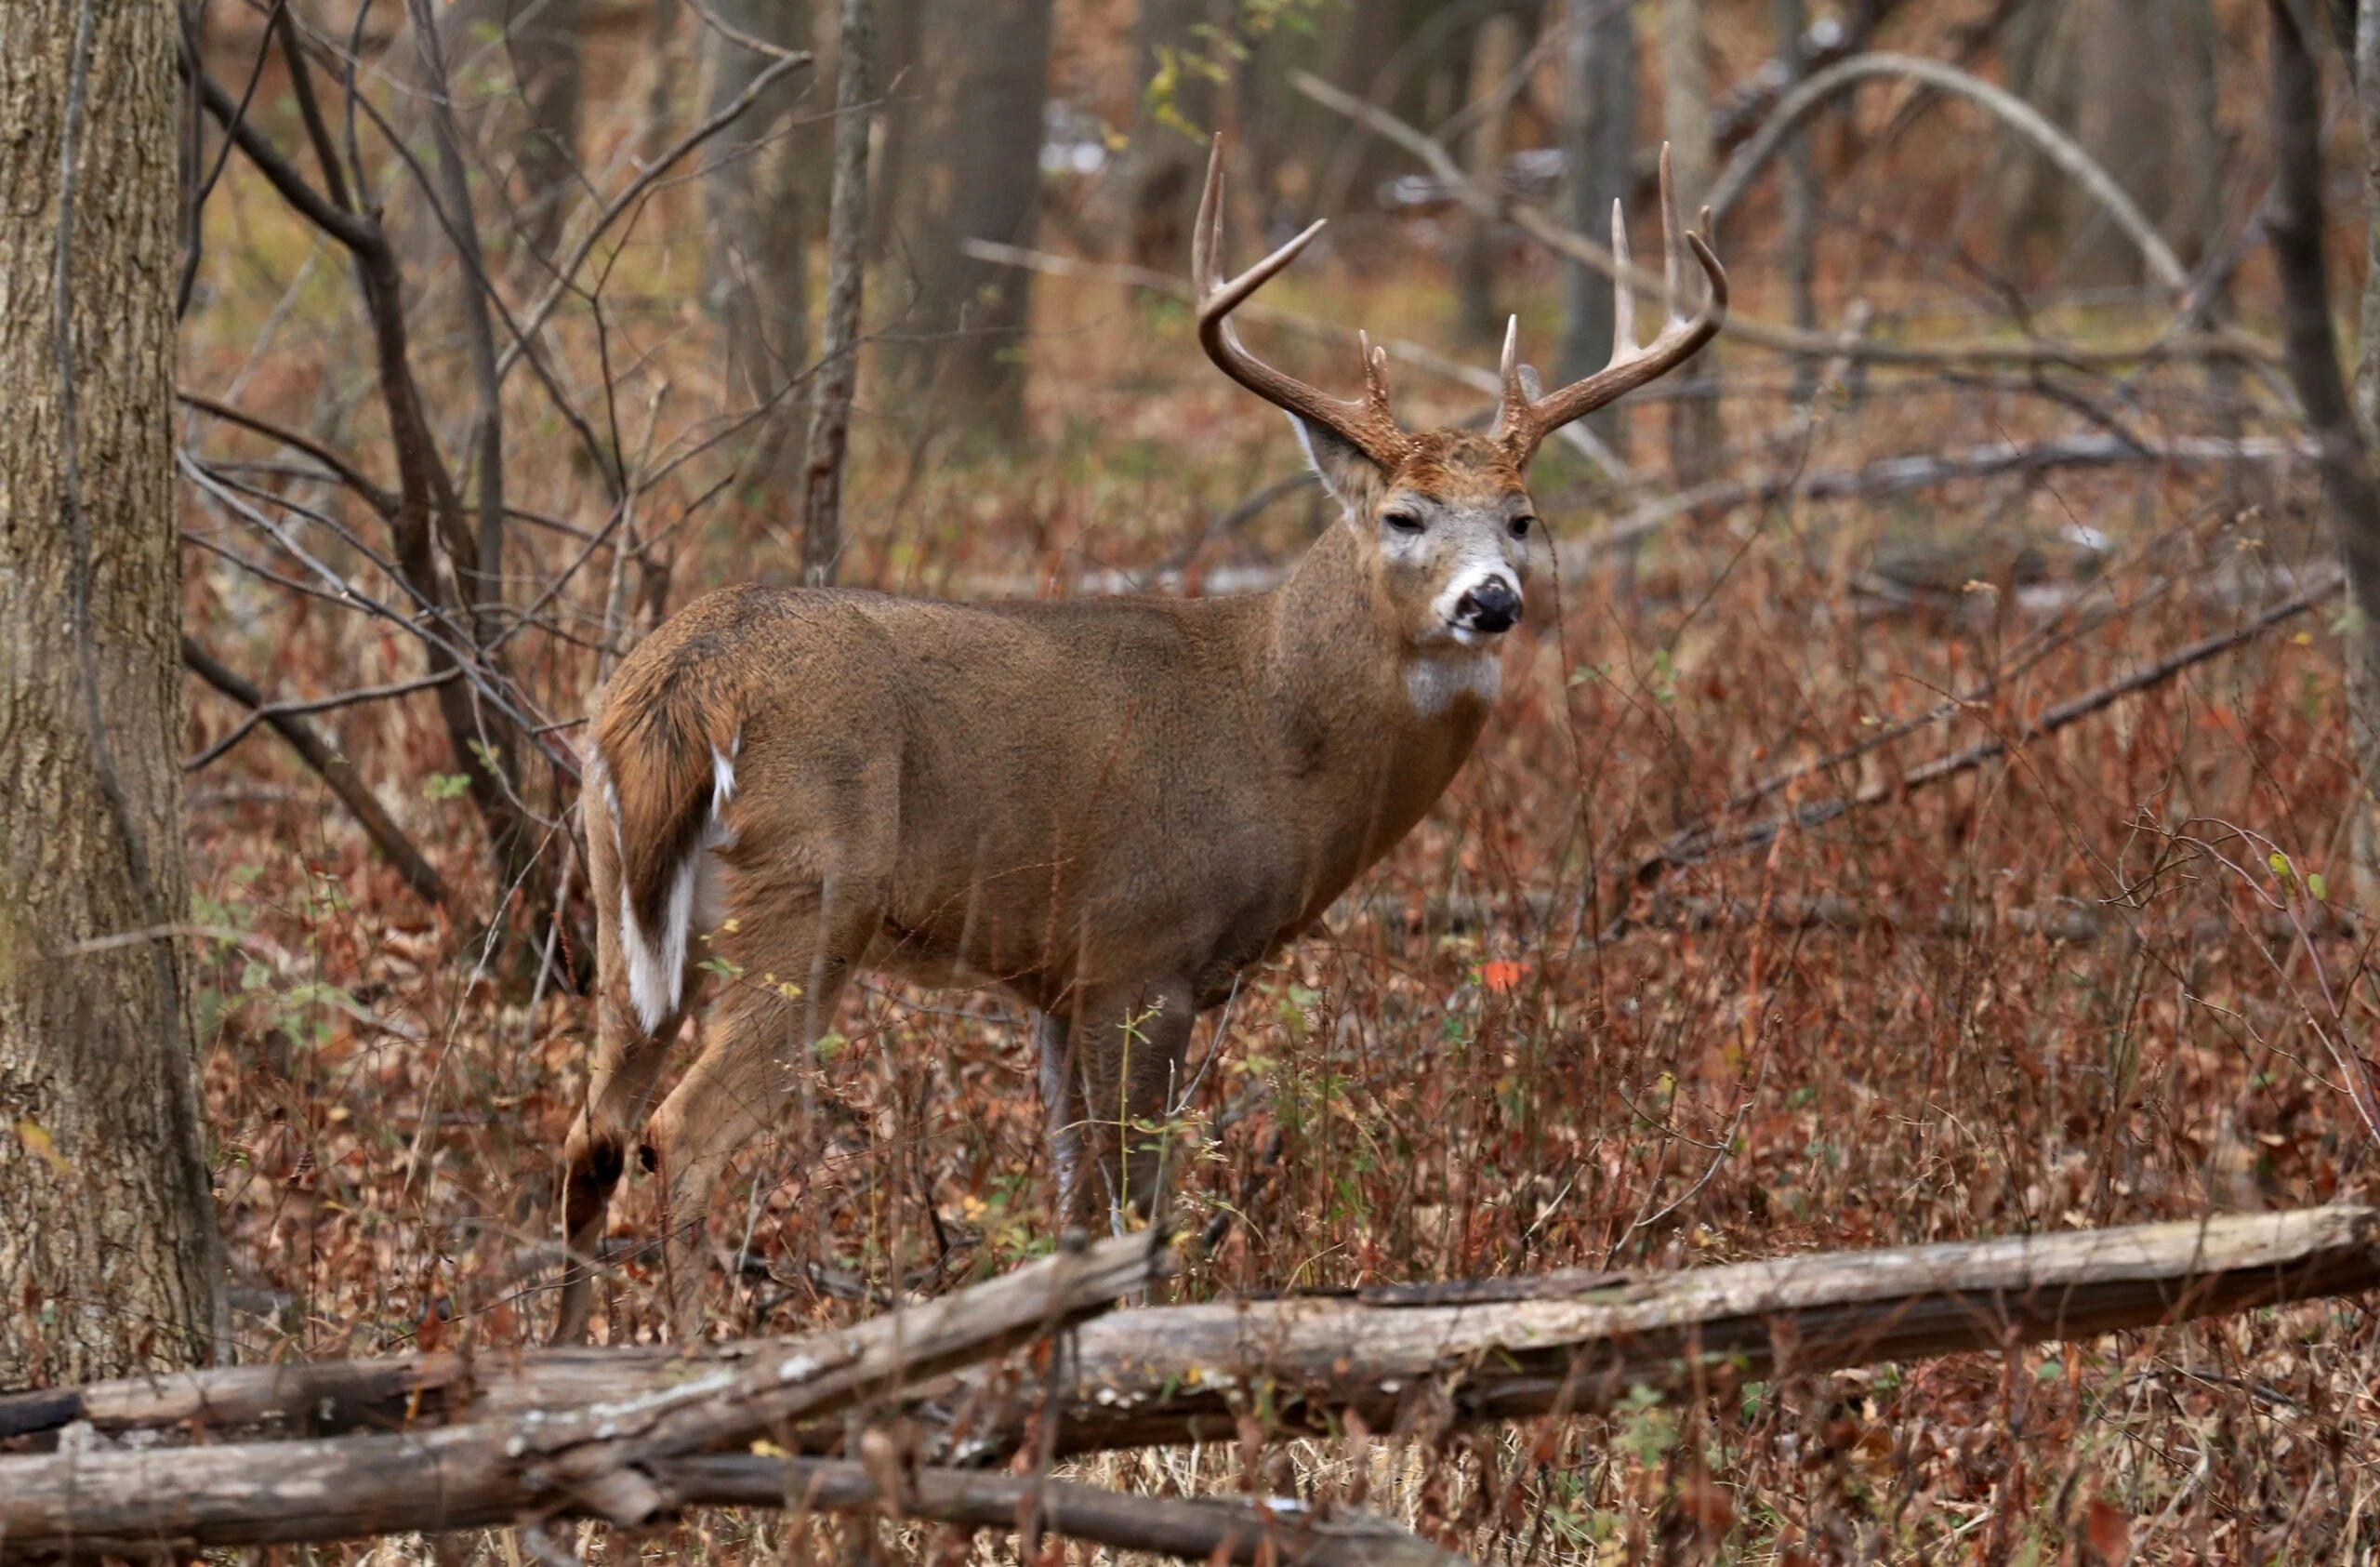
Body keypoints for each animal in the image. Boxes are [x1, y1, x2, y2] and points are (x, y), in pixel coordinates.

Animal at [551, 134, 1713, 1334]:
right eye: (1403, 516)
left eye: (1523, 518)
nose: (1491, 600)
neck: (1274, 726)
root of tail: (687, 677)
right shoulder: (1140, 949)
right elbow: (1132, 1197)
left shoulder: (1055, 983)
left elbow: (1073, 1195)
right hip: (810, 894)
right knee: (677, 1134)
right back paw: (689, 1346)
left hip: (620, 896)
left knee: (589, 1133)